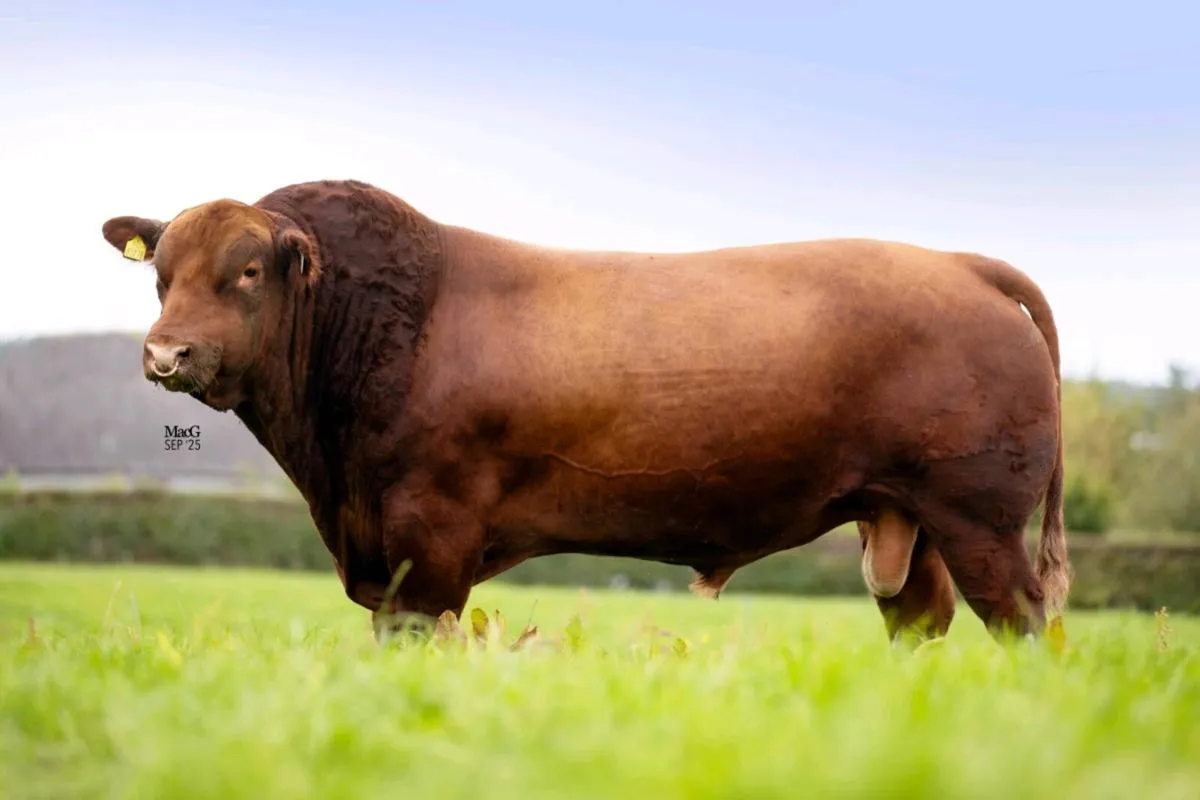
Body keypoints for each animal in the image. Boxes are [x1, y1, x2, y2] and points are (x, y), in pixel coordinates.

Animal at [100, 178, 1070, 646]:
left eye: (247, 271)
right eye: (161, 275)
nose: (164, 354)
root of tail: (961, 262)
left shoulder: (429, 534)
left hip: (979, 517)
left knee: (1025, 621)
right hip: (906, 519)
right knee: (921, 622)